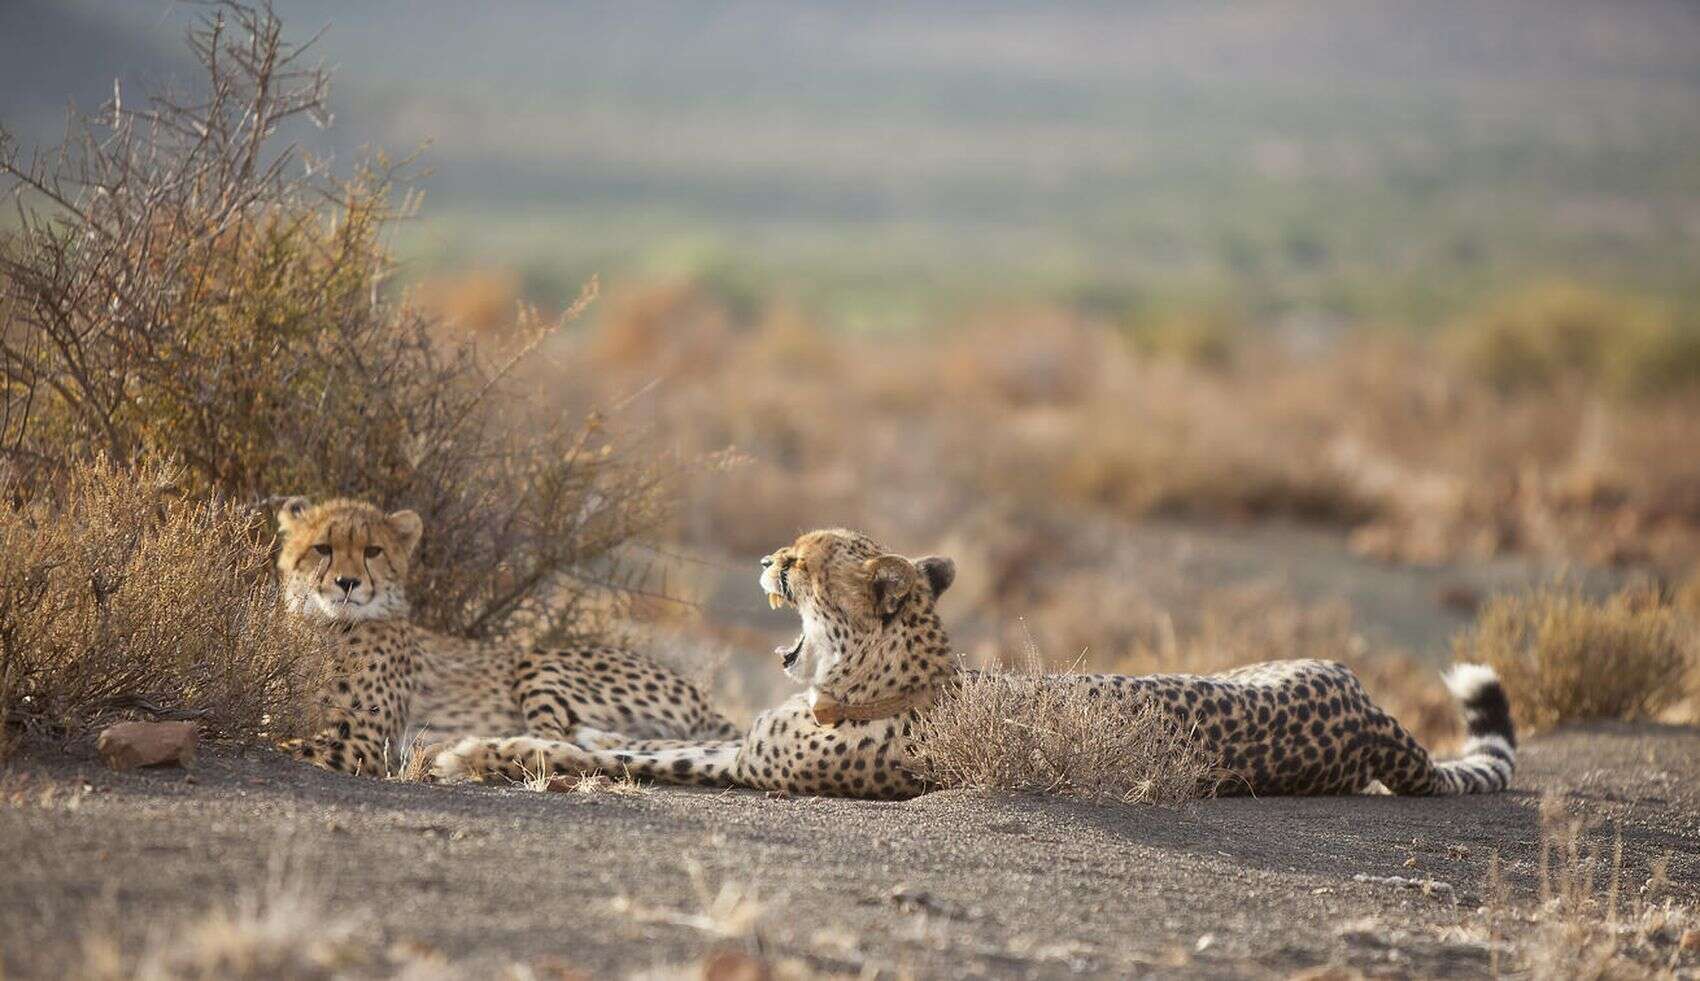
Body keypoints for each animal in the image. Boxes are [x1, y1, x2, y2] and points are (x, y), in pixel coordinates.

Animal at [276, 496, 738, 776]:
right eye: (322, 548)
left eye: (373, 551)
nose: (347, 583)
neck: (328, 627)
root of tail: (702, 699)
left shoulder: (363, 741)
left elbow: (286, 744)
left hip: (540, 662)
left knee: (567, 745)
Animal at [428, 528, 1516, 800]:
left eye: (807, 557)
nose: (768, 560)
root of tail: (1364, 712)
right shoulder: (741, 739)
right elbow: (618, 738)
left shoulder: (750, 767)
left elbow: (619, 756)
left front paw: (474, 751)